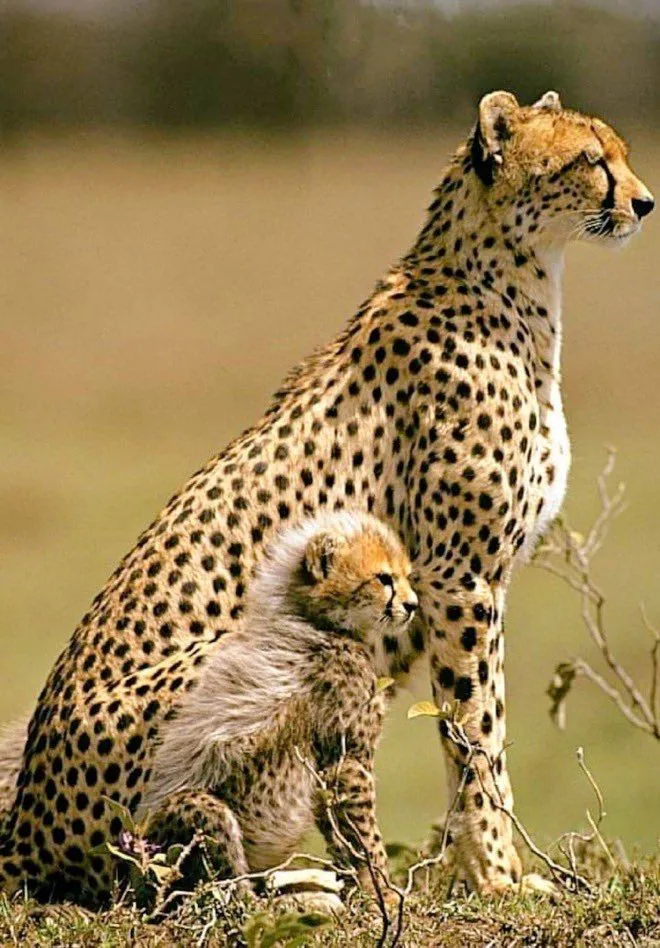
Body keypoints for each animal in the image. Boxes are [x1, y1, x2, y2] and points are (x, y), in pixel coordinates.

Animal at [140, 510, 419, 899]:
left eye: (406, 577)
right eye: (384, 579)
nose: (412, 606)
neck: (318, 621)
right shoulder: (345, 761)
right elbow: (363, 837)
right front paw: (381, 893)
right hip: (197, 811)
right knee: (224, 893)